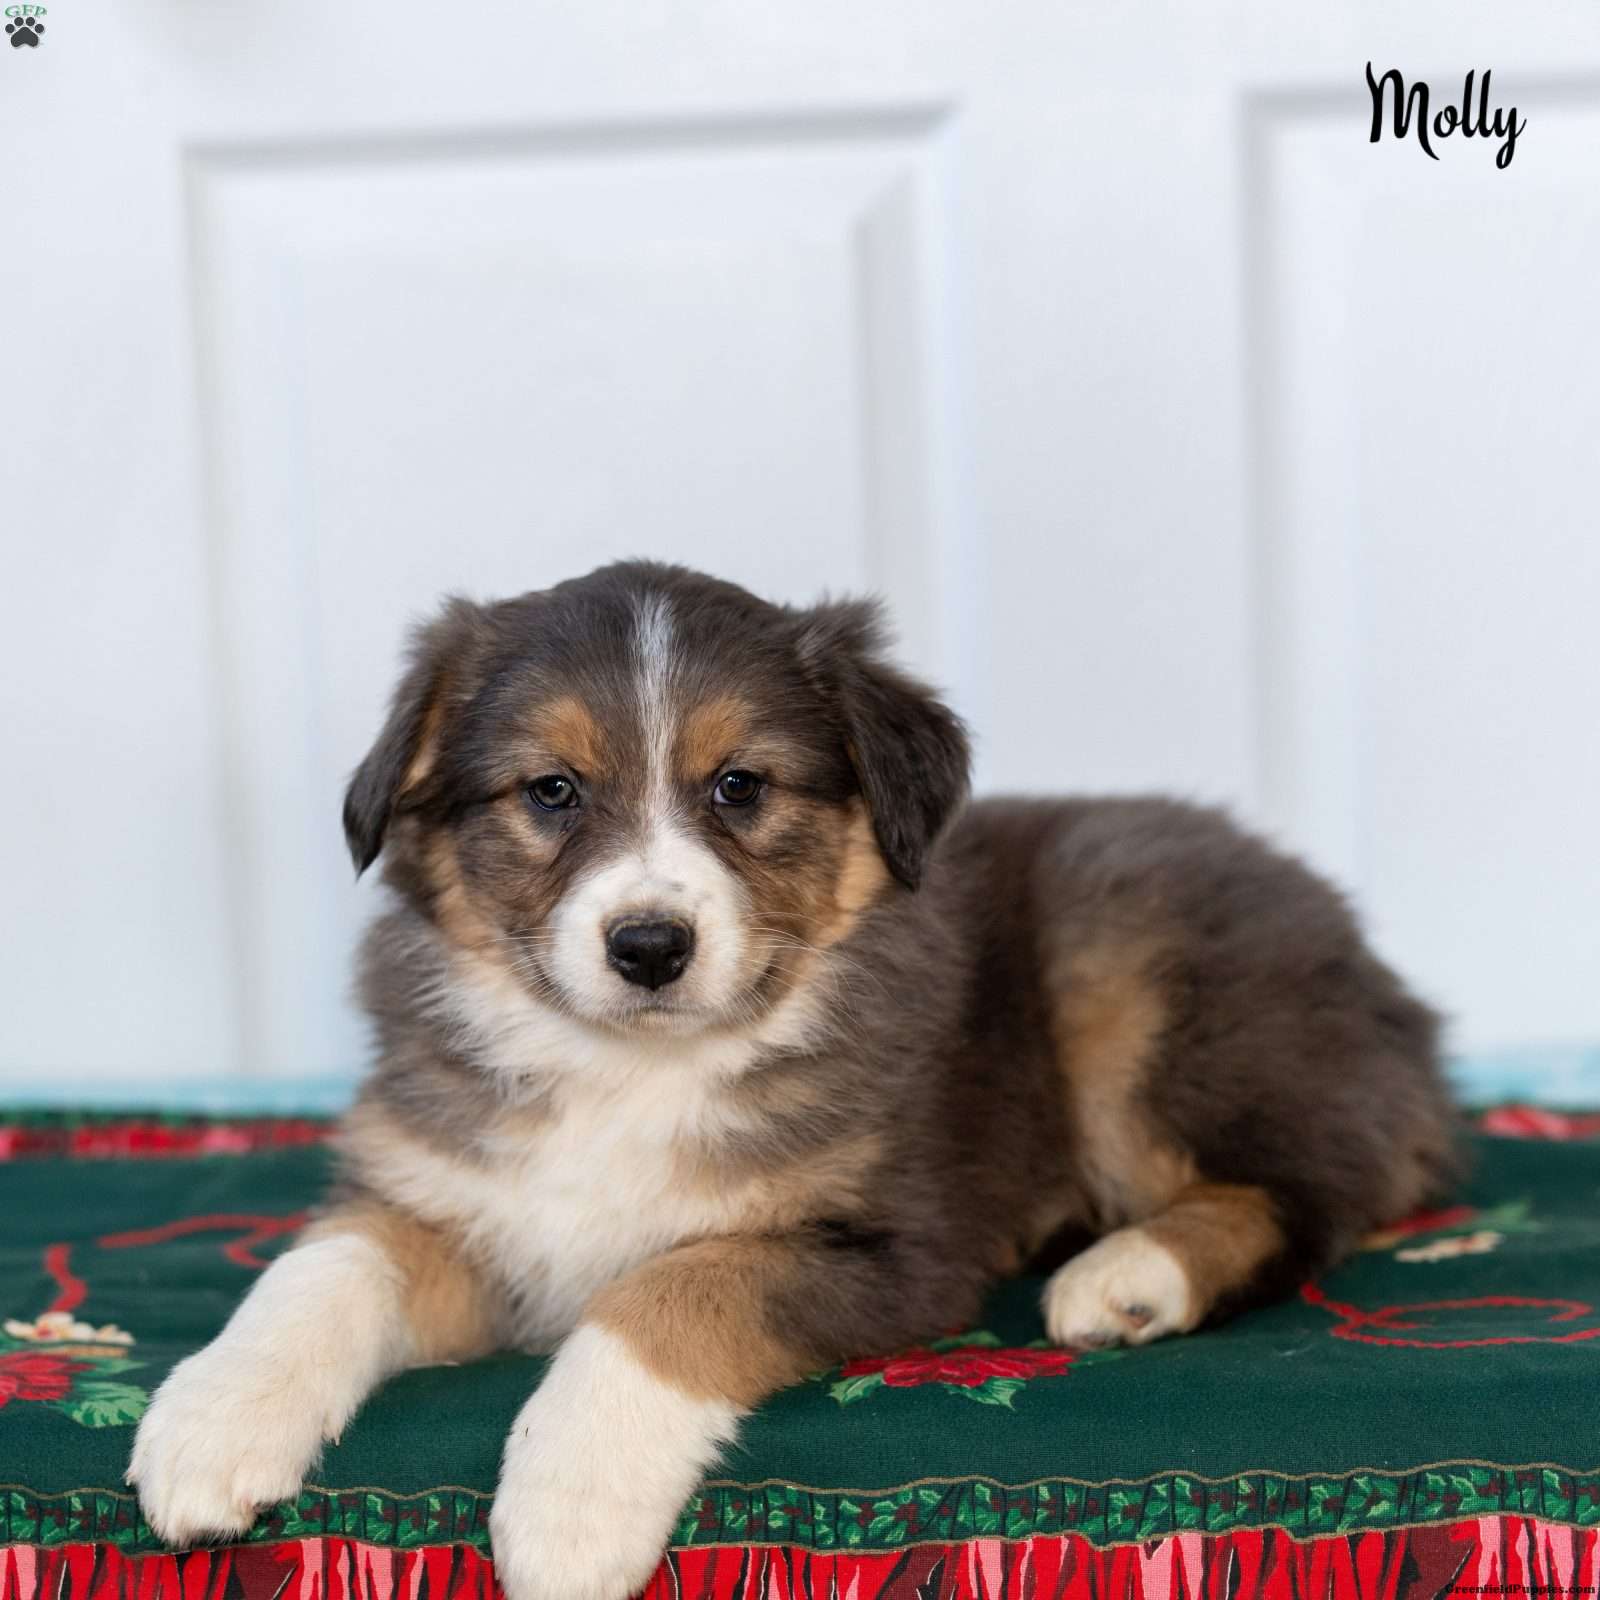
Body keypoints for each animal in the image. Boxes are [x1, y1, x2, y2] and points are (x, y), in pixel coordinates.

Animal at [129, 561, 1457, 1600]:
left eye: (741, 786)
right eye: (550, 790)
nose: (649, 946)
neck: (629, 1067)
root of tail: (1387, 987)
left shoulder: (892, 1243)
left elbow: (672, 1287)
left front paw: (567, 1505)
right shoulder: (456, 1197)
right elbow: (324, 1265)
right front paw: (213, 1417)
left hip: (1128, 970)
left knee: (1306, 1190)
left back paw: (1127, 1275)